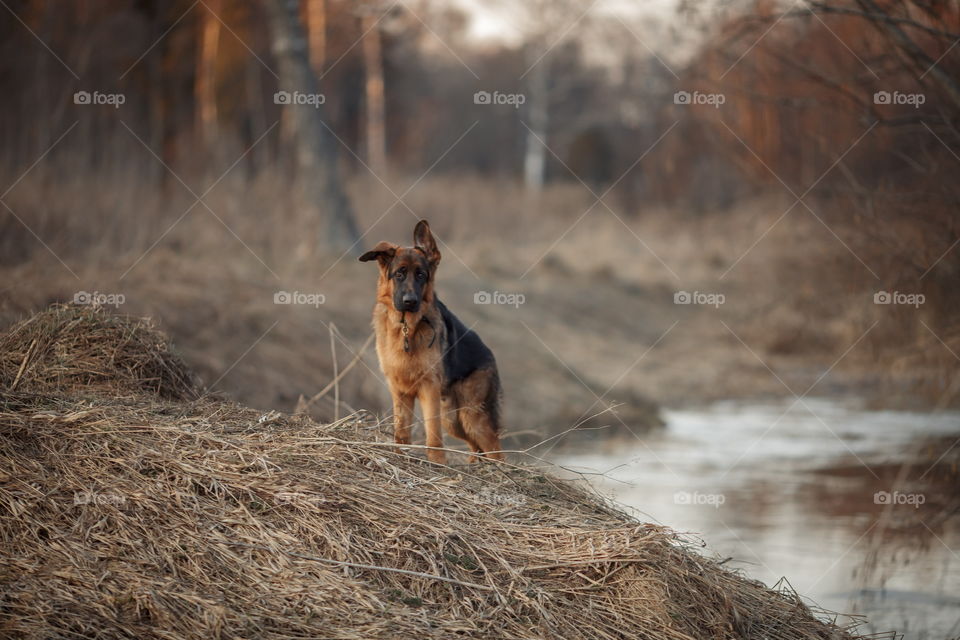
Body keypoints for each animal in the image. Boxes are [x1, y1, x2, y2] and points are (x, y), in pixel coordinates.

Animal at [358, 222, 506, 462]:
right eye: (399, 274)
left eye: (421, 275)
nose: (410, 301)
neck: (406, 328)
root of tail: (489, 353)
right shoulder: (399, 391)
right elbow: (401, 433)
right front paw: (400, 456)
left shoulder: (428, 389)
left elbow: (433, 436)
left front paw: (437, 463)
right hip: (453, 420)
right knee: (476, 448)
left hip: (472, 417)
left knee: (496, 451)